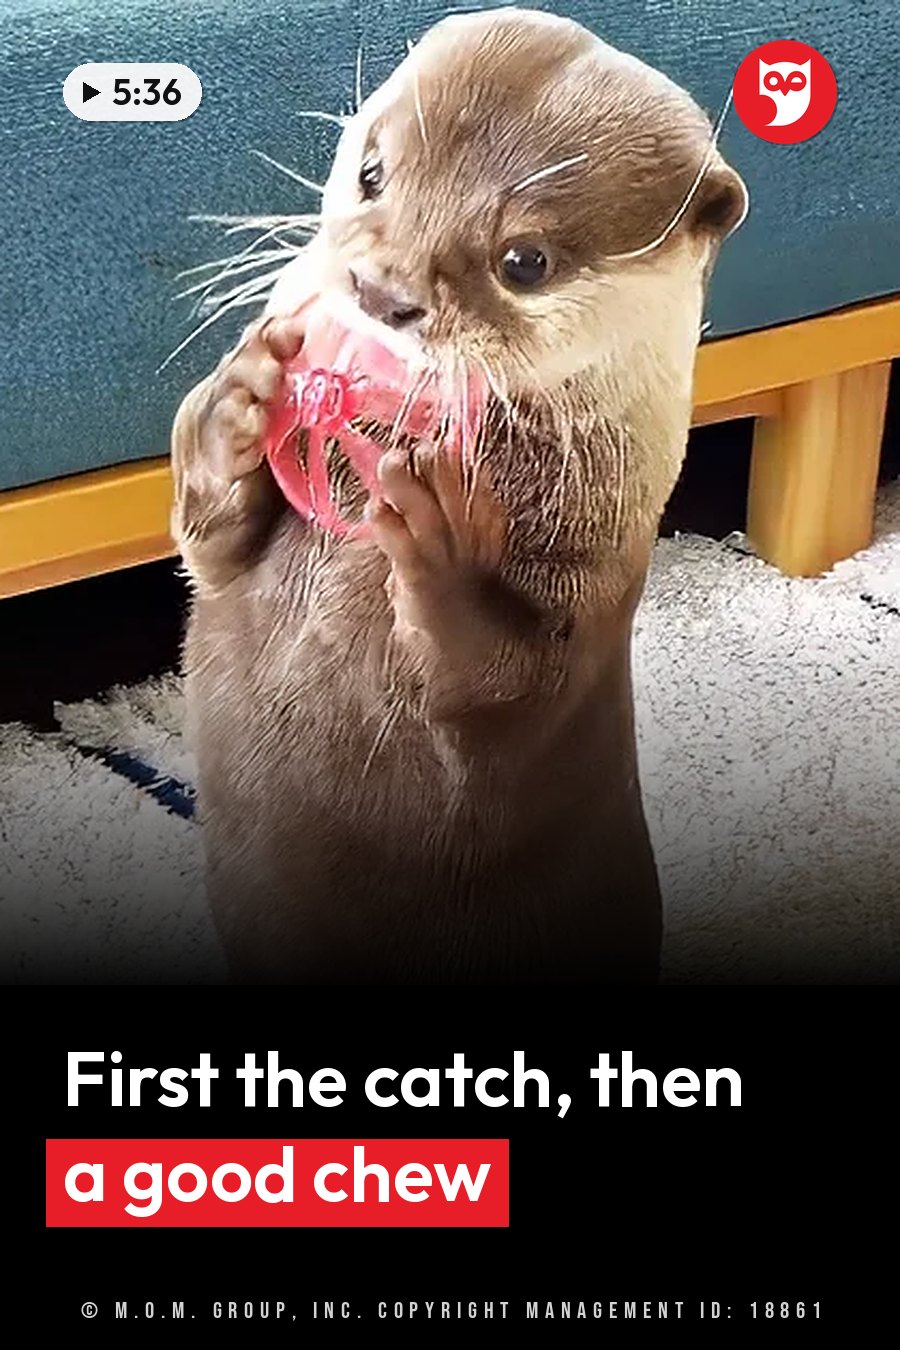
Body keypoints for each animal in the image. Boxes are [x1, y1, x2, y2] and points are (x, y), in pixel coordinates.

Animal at [171, 8, 746, 984]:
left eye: (525, 259)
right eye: (372, 171)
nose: (379, 290)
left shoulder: (587, 603)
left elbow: (505, 673)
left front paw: (443, 541)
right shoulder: (228, 573)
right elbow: (207, 547)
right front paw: (232, 401)